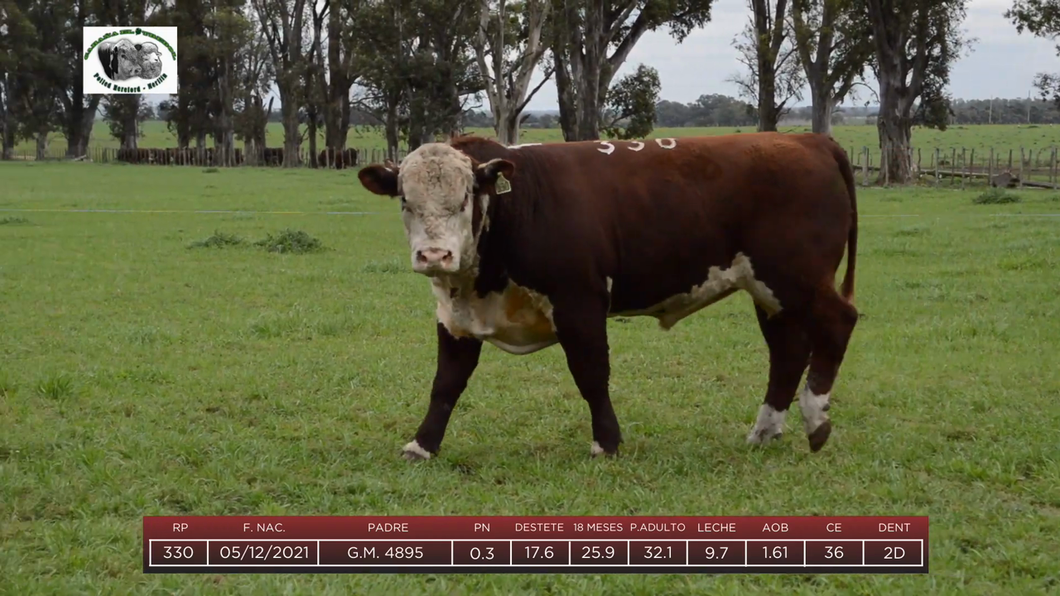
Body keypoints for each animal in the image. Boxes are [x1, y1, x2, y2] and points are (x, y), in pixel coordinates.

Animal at [360, 133, 856, 460]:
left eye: (465, 198)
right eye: (405, 200)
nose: (434, 255)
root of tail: (805, 138)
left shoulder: (580, 303)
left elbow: (591, 375)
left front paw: (608, 443)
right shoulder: (455, 317)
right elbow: (446, 383)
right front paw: (422, 445)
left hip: (797, 278)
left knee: (838, 322)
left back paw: (816, 420)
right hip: (770, 291)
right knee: (787, 352)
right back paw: (765, 432)